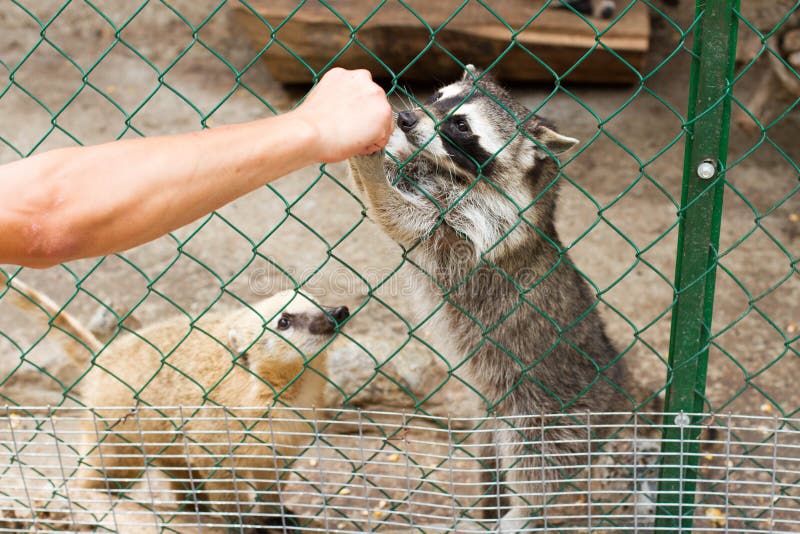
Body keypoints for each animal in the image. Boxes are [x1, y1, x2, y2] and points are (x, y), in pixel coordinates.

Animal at [349, 66, 631, 531]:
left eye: (461, 126)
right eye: (438, 96)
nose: (406, 119)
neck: (457, 174)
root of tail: (617, 398)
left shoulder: (477, 227)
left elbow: (404, 217)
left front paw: (369, 167)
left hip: (552, 415)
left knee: (537, 466)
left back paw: (522, 512)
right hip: (491, 419)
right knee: (490, 457)